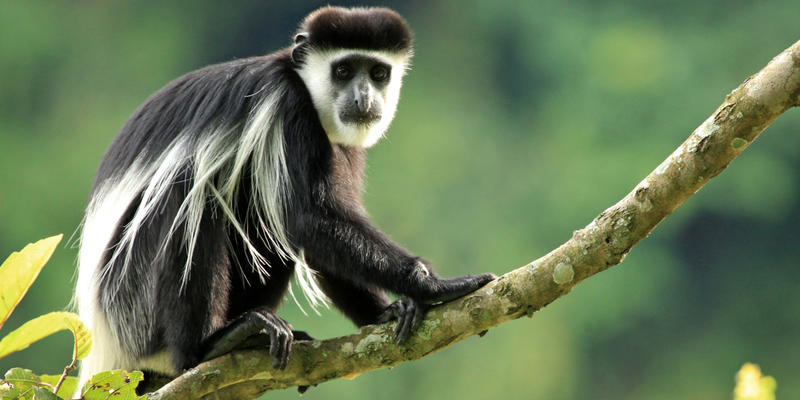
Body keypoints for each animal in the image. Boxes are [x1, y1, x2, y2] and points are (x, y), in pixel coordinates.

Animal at [78, 6, 496, 386]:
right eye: (343, 71)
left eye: (378, 73)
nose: (363, 97)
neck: (305, 87)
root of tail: (106, 351)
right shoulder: (286, 107)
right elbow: (306, 218)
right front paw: (433, 284)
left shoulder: (342, 144)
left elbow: (322, 233)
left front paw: (387, 311)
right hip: (132, 304)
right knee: (190, 197)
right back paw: (210, 346)